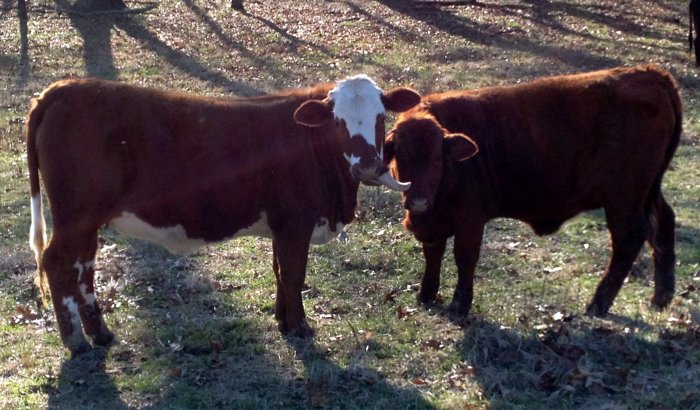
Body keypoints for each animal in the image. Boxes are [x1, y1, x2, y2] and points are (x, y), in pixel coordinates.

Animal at [27, 75, 418, 354]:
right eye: (338, 122)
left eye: (380, 116)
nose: (367, 166)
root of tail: (62, 89)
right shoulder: (296, 222)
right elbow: (294, 275)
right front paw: (301, 327)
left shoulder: (281, 225)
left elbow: (279, 272)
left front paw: (283, 322)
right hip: (74, 216)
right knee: (58, 263)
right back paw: (75, 341)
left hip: (87, 221)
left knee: (83, 267)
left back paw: (101, 334)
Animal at [386, 65, 680, 320]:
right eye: (400, 157)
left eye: (437, 158)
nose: (419, 201)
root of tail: (649, 73)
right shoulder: (431, 223)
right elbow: (433, 255)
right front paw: (425, 295)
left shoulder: (470, 219)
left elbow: (464, 258)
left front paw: (459, 307)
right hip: (647, 194)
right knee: (663, 223)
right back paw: (660, 298)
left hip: (624, 200)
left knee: (629, 240)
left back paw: (598, 305)